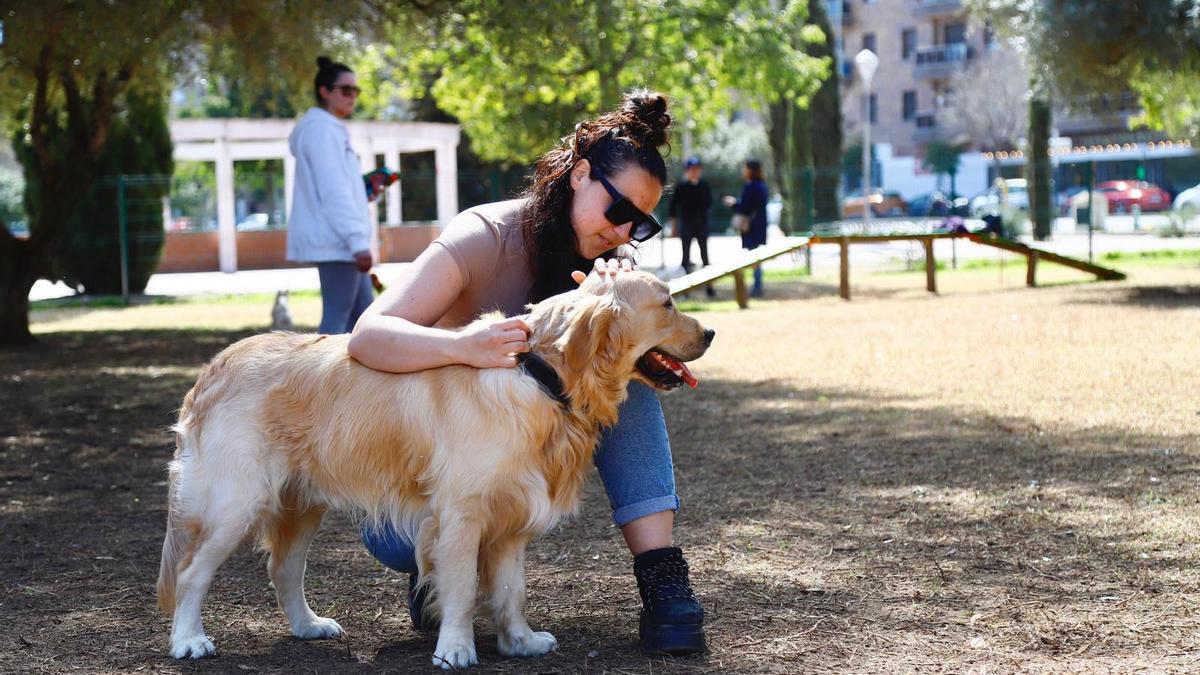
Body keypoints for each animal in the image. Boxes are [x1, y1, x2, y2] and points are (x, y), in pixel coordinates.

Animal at [152, 270, 710, 662]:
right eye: (667, 303)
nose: (709, 330)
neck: (539, 376)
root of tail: (215, 367)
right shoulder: (460, 514)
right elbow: (461, 586)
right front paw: (456, 648)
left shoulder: (512, 517)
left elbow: (511, 589)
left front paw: (520, 640)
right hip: (235, 501)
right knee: (191, 572)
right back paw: (189, 640)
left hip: (300, 501)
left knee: (283, 567)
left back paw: (308, 626)